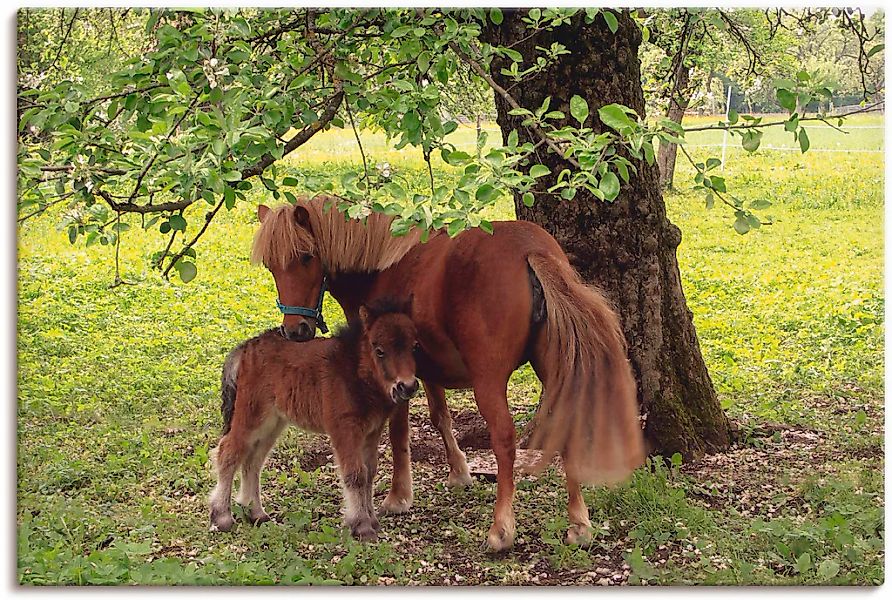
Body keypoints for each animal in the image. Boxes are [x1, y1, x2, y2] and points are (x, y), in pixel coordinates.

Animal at [208, 296, 420, 541]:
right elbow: (356, 474)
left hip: (273, 422)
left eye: (414, 346)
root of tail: (245, 347)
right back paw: (222, 517)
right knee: (229, 452)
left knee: (253, 460)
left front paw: (372, 522)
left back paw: (256, 514)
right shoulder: (344, 429)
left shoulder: (372, 432)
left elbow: (369, 473)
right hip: (251, 415)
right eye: (380, 350)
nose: (407, 387)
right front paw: (361, 526)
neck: (354, 371)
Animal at [251, 196, 644, 552]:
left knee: (504, 441)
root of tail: (531, 251)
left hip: (489, 382)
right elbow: (440, 416)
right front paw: (459, 471)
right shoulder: (425, 370)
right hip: (554, 370)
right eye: (270, 266)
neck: (381, 266)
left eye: (305, 257)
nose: (295, 331)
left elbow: (399, 432)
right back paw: (579, 524)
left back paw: (501, 530)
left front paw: (398, 496)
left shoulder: (394, 377)